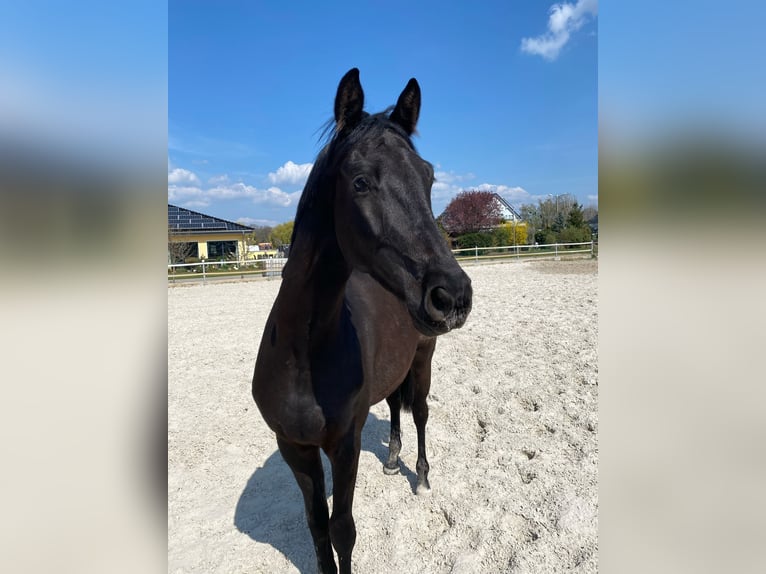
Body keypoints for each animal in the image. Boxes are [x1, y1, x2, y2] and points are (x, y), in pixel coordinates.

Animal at [251, 68, 472, 574]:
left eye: (429, 178)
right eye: (359, 182)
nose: (453, 295)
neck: (304, 355)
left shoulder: (344, 445)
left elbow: (342, 530)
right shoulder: (294, 448)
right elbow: (316, 526)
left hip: (423, 361)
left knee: (420, 413)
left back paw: (421, 477)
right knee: (393, 405)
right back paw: (391, 459)